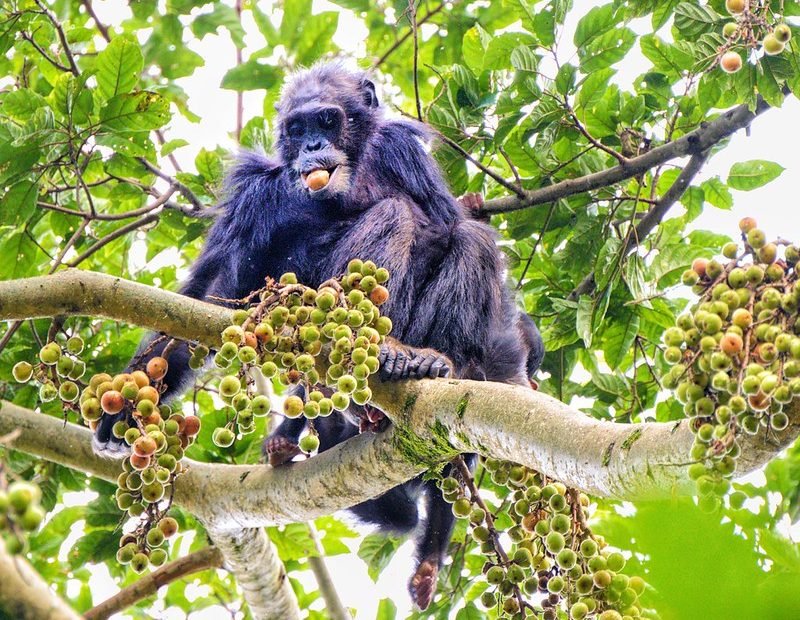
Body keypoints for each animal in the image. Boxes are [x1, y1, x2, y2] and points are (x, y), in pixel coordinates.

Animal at [93, 62, 543, 610]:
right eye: (297, 128)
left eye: (327, 121)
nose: (312, 145)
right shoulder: (252, 199)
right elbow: (210, 294)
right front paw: (128, 405)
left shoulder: (404, 152)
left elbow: (449, 223)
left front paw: (511, 380)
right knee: (393, 216)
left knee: (464, 237)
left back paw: (430, 365)